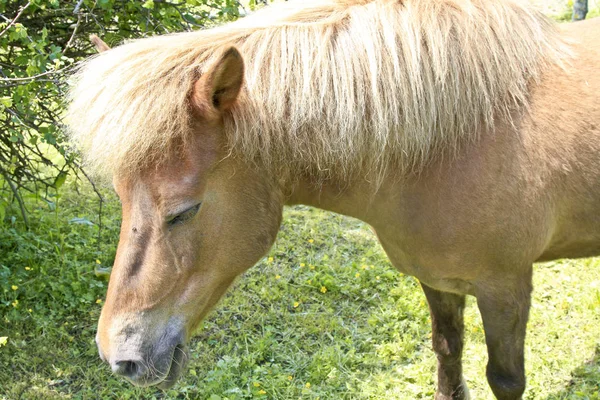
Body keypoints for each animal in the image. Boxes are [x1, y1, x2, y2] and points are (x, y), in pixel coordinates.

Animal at [67, 0, 600, 396]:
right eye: (121, 198)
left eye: (184, 211)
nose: (119, 357)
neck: (452, 142)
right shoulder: (438, 280)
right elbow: (448, 353)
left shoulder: (505, 289)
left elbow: (505, 379)